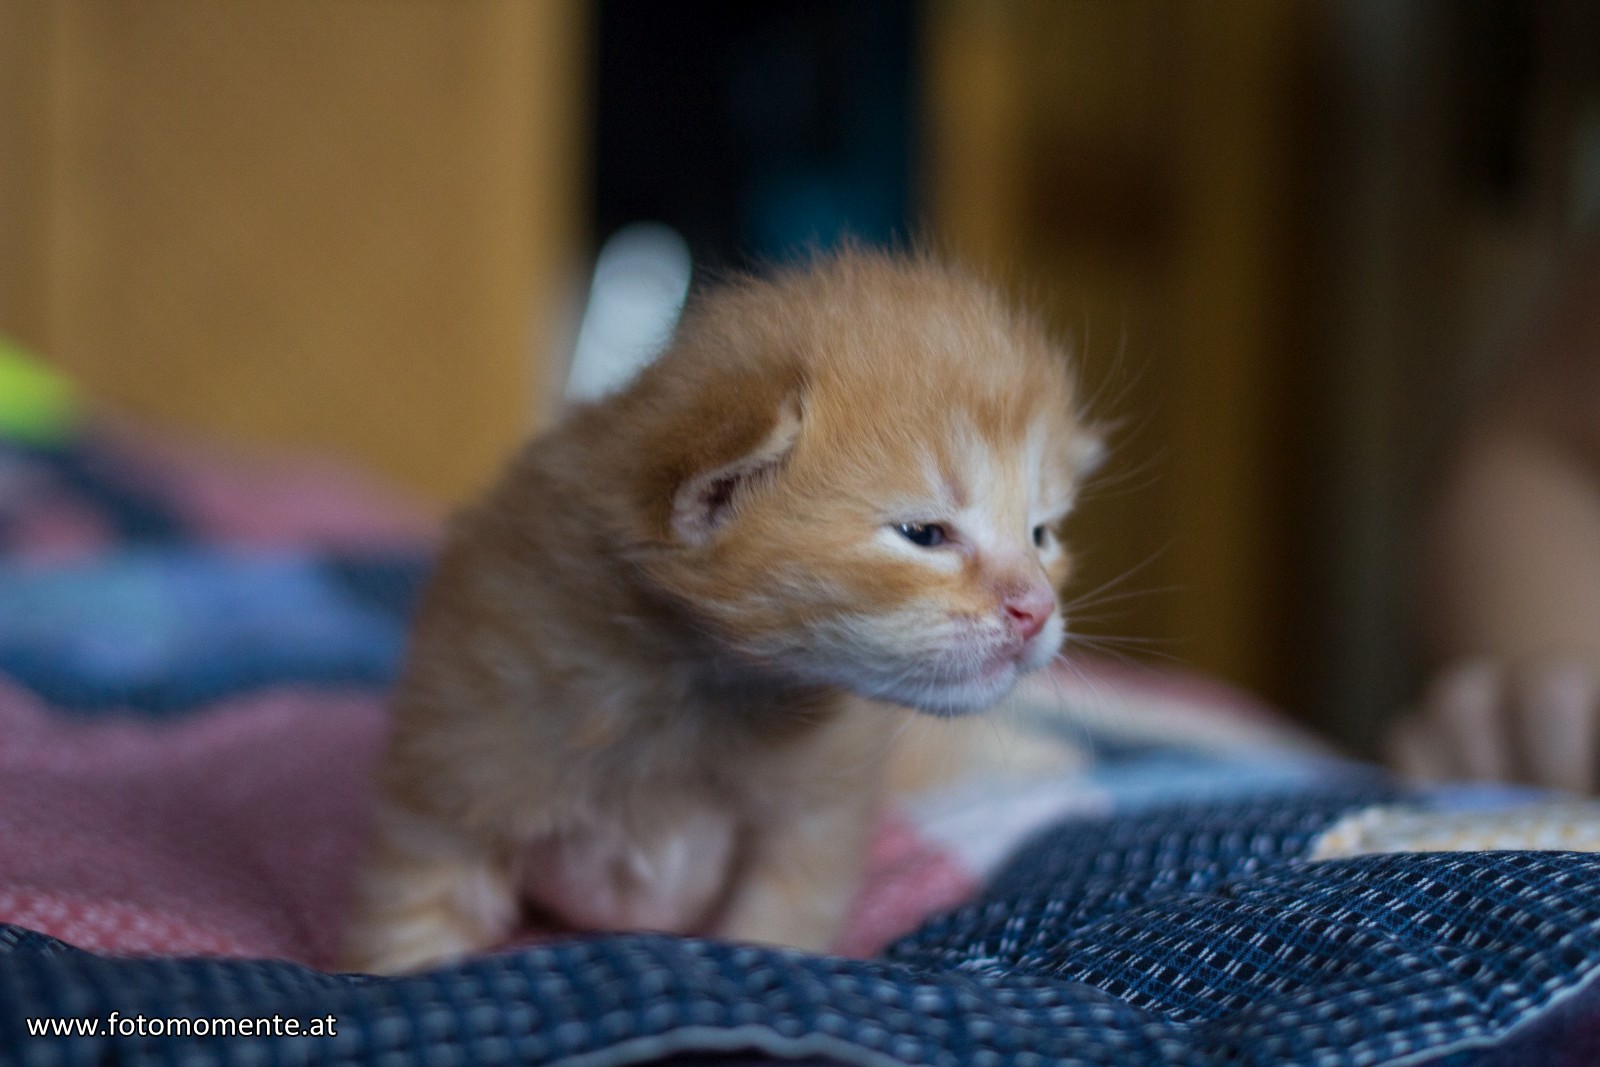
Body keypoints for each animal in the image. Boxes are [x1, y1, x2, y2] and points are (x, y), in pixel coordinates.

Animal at [345, 251, 1107, 979]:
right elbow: (414, 927)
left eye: (1041, 535)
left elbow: (772, 930)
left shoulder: (811, 827)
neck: (693, 686)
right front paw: (397, 972)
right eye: (923, 534)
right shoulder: (454, 780)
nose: (1037, 609)